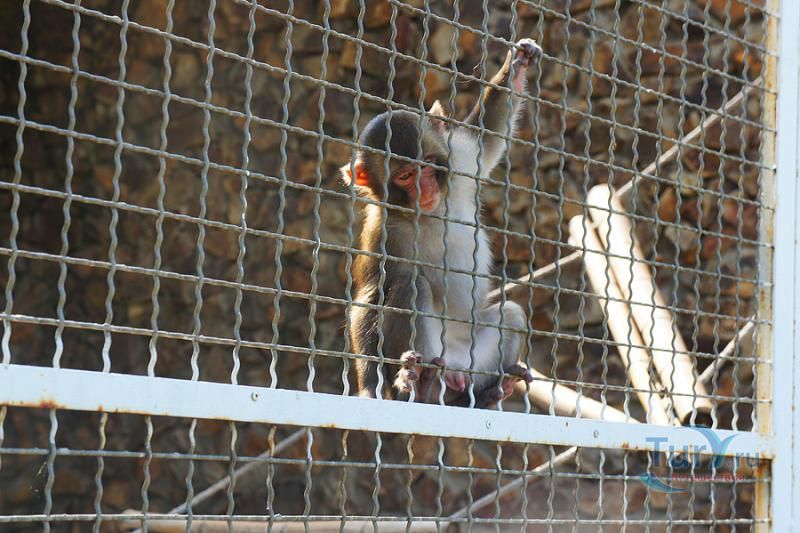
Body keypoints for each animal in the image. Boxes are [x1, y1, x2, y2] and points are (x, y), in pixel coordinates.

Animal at [341, 38, 542, 408]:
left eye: (428, 165)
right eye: (405, 176)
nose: (427, 188)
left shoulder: (460, 159)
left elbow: (488, 139)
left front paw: (517, 65)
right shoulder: (381, 232)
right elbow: (368, 296)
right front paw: (368, 386)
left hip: (475, 360)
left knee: (511, 314)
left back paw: (485, 394)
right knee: (411, 286)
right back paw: (424, 387)